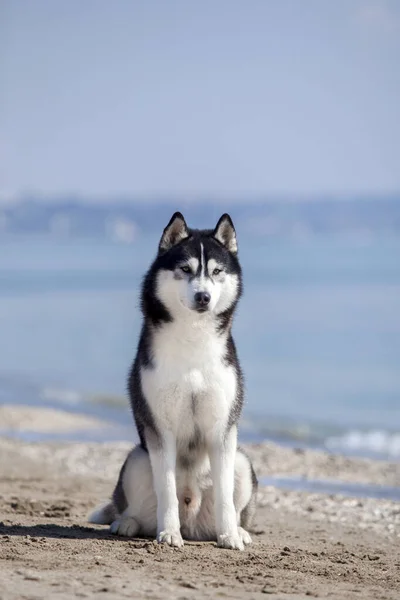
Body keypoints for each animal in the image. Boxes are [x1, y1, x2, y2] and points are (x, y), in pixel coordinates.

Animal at [89, 213, 258, 552]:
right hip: (136, 459)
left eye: (216, 271)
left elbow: (225, 494)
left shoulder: (222, 429)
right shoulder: (160, 428)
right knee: (132, 507)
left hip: (243, 463)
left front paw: (230, 536)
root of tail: (193, 522)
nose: (203, 296)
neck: (193, 338)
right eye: (185, 269)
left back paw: (237, 529)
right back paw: (127, 523)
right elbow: (166, 487)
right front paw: (168, 533)